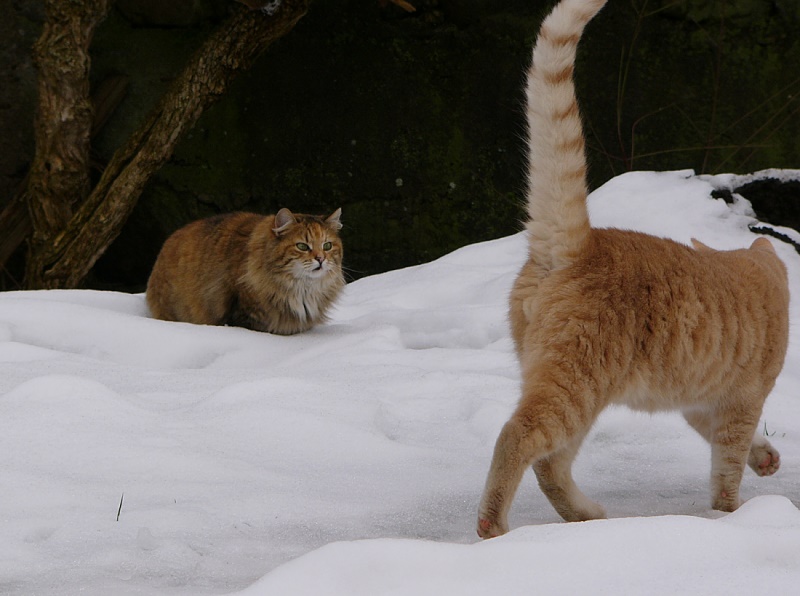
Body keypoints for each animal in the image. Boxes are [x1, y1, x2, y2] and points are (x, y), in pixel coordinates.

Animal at [476, 0, 788, 540]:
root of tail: (578, 243)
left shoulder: (702, 403)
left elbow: (734, 446)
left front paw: (765, 458)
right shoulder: (740, 403)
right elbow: (726, 468)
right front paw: (729, 516)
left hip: (570, 389)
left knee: (550, 464)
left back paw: (586, 516)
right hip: (573, 388)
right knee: (519, 438)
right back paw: (493, 525)